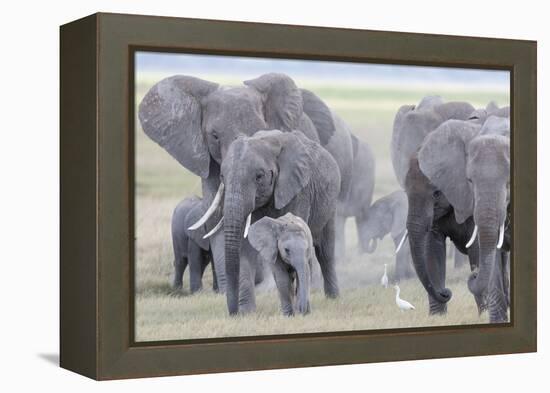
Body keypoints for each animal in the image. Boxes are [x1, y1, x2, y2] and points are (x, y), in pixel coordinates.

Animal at [406, 115, 512, 322]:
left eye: (436, 193)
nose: (446, 291)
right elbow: (432, 248)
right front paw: (437, 318)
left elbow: (477, 248)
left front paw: (482, 314)